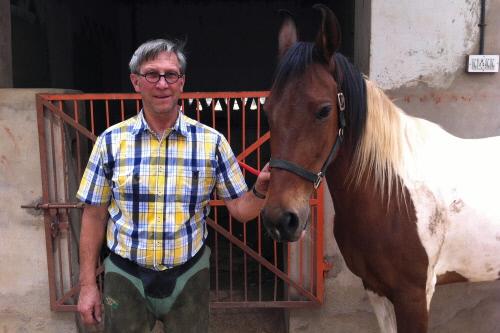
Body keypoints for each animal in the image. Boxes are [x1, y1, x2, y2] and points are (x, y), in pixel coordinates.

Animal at [262, 5, 500, 332]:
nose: (280, 220)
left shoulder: (414, 296)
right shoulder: (375, 289)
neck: (390, 195)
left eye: (324, 110)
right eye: (267, 110)